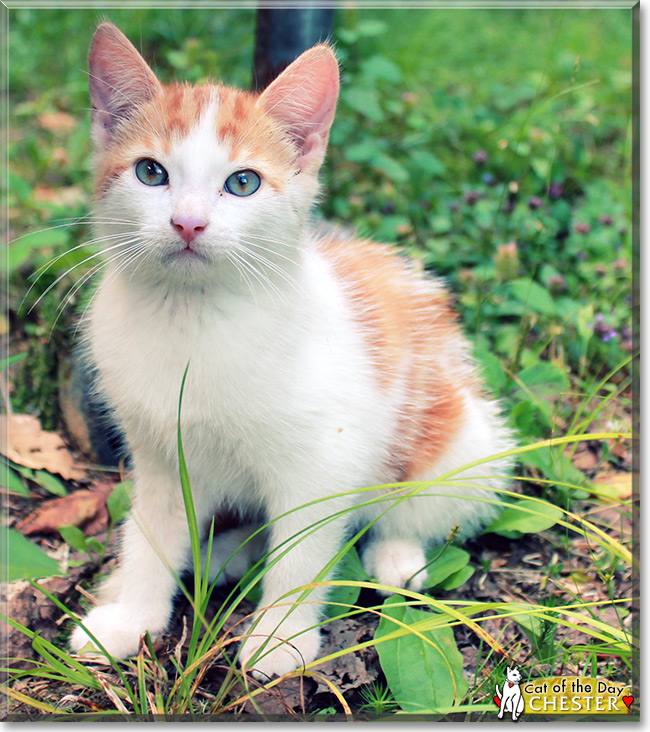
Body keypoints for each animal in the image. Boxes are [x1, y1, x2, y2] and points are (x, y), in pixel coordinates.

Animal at [71, 21, 512, 676]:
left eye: (243, 183)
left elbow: (302, 554)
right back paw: (226, 551)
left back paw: (395, 555)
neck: (192, 318)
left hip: (460, 440)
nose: (188, 223)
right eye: (151, 173)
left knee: (417, 510)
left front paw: (280, 638)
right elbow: (149, 535)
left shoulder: (325, 461)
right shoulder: (159, 455)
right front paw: (129, 618)